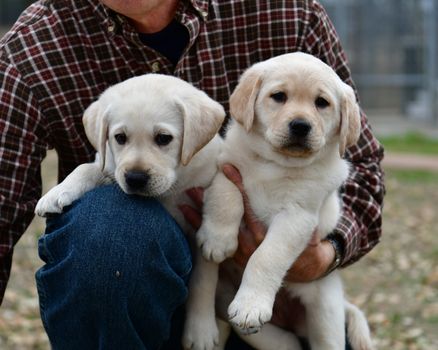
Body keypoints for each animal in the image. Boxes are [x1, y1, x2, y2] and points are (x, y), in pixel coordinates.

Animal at [190, 52, 374, 350]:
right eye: (278, 96)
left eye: (321, 103)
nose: (300, 126)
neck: (275, 164)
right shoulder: (227, 169)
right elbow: (226, 198)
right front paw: (217, 240)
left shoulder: (297, 216)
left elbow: (266, 256)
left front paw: (251, 305)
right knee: (283, 341)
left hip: (325, 312)